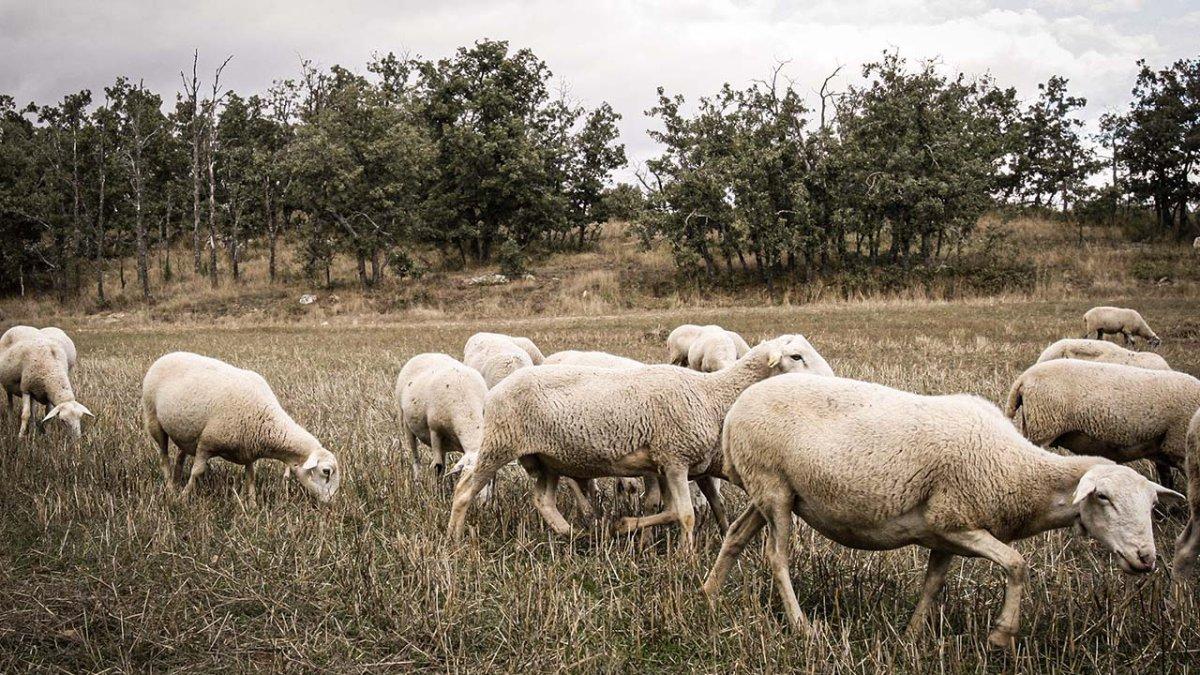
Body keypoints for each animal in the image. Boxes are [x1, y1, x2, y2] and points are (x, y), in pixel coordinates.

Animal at [142, 352, 340, 502]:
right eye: (326, 471)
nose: (331, 503)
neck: (266, 419)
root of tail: (167, 355)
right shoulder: (207, 443)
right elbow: (197, 472)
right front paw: (183, 497)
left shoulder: (248, 450)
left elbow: (250, 477)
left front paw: (252, 505)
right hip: (153, 419)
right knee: (163, 456)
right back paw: (170, 487)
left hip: (186, 434)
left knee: (180, 456)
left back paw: (176, 481)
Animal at [447, 335, 835, 548]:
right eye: (796, 356)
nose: (832, 379)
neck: (713, 394)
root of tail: (495, 391)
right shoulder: (675, 458)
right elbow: (685, 514)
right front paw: (686, 559)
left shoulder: (664, 465)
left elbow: (665, 509)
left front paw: (629, 530)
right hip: (500, 443)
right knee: (465, 491)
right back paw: (455, 539)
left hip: (546, 459)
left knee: (542, 500)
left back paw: (573, 535)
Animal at [704, 373, 1184, 647]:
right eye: (1104, 498)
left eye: (1152, 505)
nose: (1146, 559)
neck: (1018, 470)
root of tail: (737, 407)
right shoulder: (954, 521)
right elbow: (1017, 563)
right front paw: (1001, 636)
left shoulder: (944, 537)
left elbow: (933, 585)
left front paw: (911, 637)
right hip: (774, 487)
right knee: (776, 557)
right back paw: (802, 626)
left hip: (767, 491)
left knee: (736, 535)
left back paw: (709, 594)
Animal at [1005, 359, 1200, 492]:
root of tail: (1023, 379)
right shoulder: (1180, 448)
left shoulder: (1163, 448)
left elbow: (1166, 478)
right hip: (1045, 428)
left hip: (1033, 427)